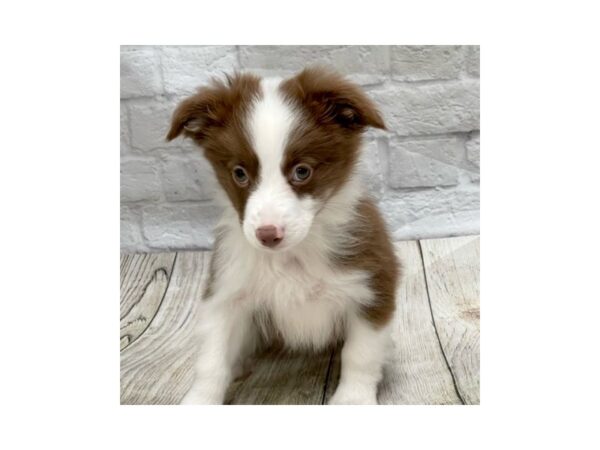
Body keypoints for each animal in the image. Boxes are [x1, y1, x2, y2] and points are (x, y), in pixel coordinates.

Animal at [166, 68, 400, 406]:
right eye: (239, 173)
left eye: (302, 171)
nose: (268, 235)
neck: (293, 256)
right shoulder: (227, 290)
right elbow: (211, 359)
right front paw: (200, 400)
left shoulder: (371, 286)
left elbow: (360, 354)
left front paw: (352, 400)